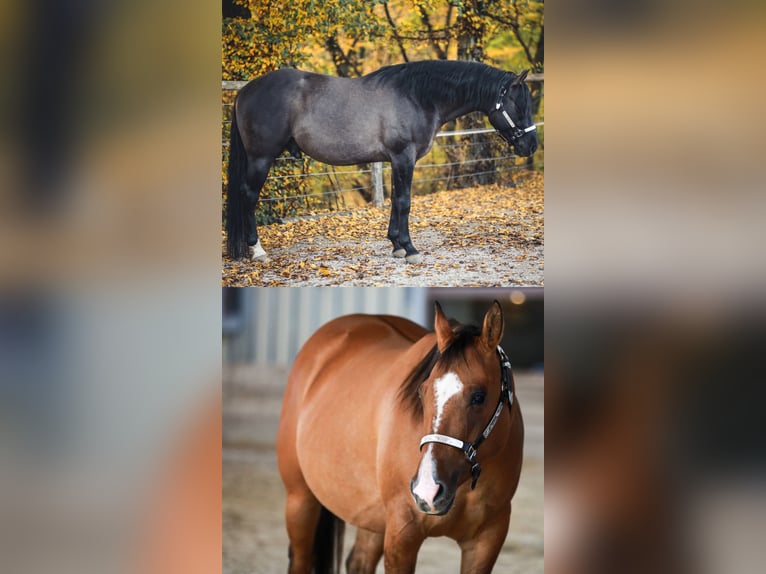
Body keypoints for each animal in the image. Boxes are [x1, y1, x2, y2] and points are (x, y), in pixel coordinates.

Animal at [225, 60, 539, 263]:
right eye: (518, 106)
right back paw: (257, 251)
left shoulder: (396, 160)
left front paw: (396, 245)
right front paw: (410, 249)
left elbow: (396, 201)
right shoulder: (404, 156)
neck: (417, 96)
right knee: (248, 197)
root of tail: (245, 91)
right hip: (261, 159)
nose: (531, 146)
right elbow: (404, 202)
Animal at [276, 301, 524, 573]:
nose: (428, 490)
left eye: (479, 396)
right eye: (422, 392)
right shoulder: (402, 533)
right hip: (300, 500)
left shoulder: (486, 540)